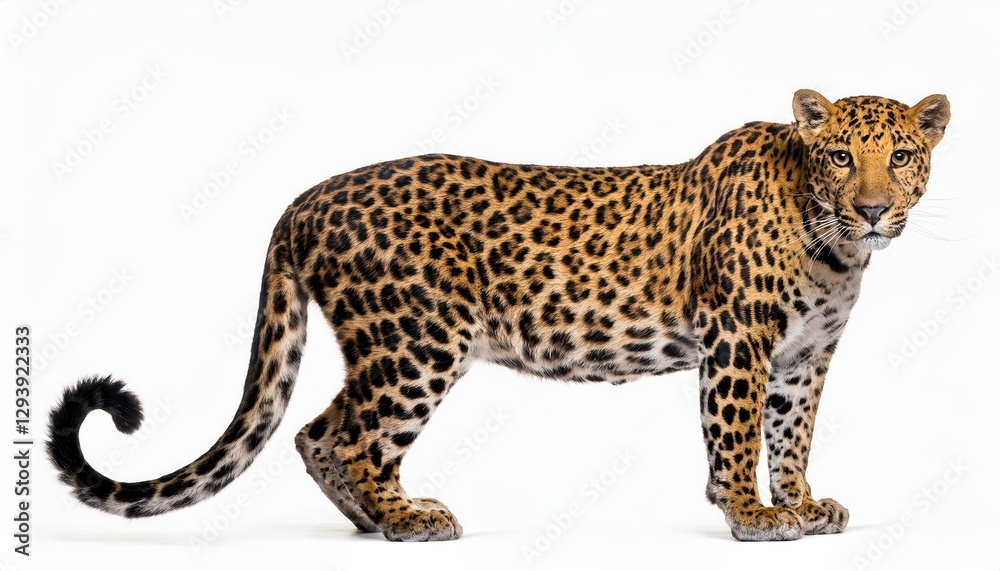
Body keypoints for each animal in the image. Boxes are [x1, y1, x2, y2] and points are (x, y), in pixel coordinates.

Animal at [47, 89, 950, 541]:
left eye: (903, 156)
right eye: (841, 156)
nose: (873, 209)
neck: (834, 247)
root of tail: (306, 198)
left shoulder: (805, 354)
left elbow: (792, 433)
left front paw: (802, 502)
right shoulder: (739, 342)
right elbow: (733, 432)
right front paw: (753, 516)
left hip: (384, 347)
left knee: (315, 432)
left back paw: (372, 522)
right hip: (415, 342)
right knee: (352, 437)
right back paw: (406, 519)